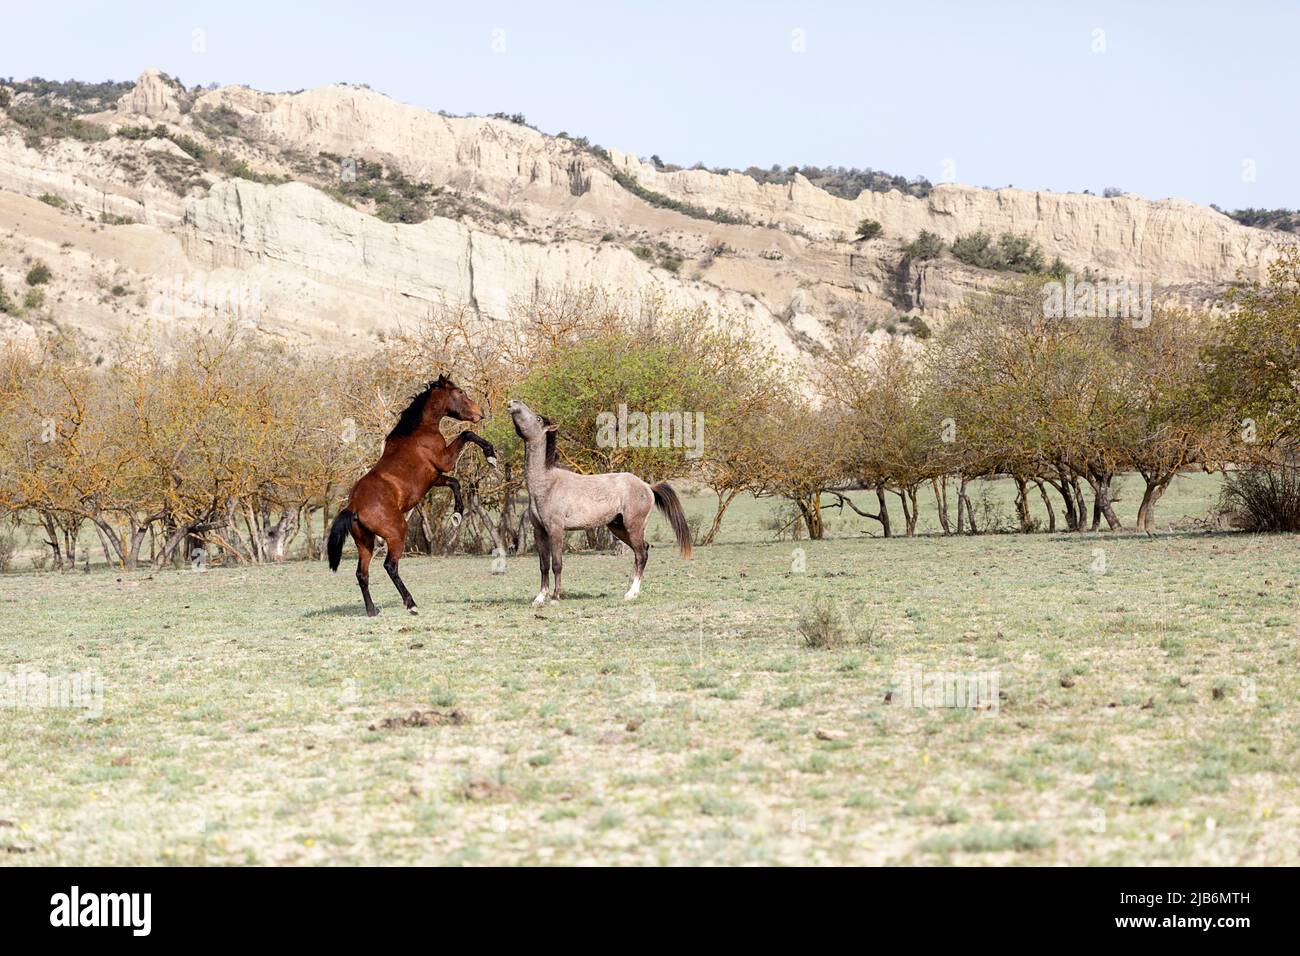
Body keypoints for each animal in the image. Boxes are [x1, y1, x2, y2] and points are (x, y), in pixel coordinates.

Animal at [330, 377, 496, 616]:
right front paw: (491, 455)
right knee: (390, 566)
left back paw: (372, 611)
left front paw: (457, 514)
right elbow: (466, 434)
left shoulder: (435, 477)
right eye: (460, 392)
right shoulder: (445, 460)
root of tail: (353, 506)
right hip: (396, 534)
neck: (419, 431)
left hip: (365, 543)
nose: (480, 413)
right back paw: (411, 604)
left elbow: (455, 483)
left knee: (362, 574)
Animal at [504, 398, 691, 606]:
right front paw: (539, 598)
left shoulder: (555, 530)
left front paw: (555, 597)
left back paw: (631, 593)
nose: (513, 402)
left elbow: (557, 564)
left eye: (537, 418)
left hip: (633, 527)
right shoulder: (540, 532)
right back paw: (632, 591)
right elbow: (543, 565)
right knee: (642, 551)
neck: (547, 483)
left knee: (641, 553)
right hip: (618, 528)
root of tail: (647, 486)